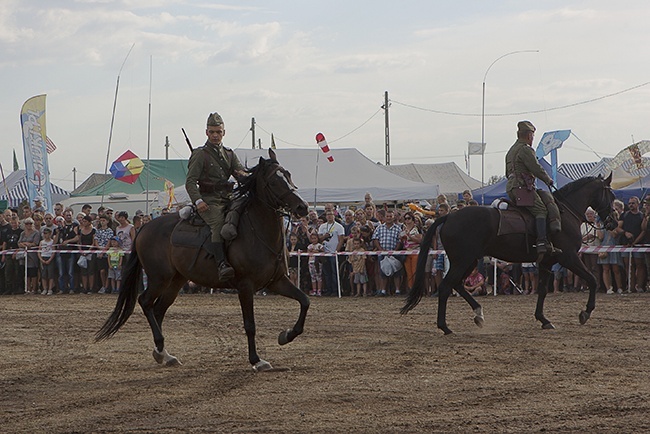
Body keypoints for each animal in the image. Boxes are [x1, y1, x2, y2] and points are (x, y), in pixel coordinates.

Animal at [95, 148, 308, 370]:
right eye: (274, 181)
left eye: (288, 175)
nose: (303, 207)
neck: (257, 231)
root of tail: (145, 227)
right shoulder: (245, 286)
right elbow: (250, 325)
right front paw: (256, 360)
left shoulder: (276, 281)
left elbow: (305, 301)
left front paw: (286, 335)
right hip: (159, 278)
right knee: (146, 302)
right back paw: (160, 346)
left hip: (176, 281)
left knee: (158, 309)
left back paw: (163, 354)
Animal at [400, 175, 612, 334]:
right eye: (610, 192)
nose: (612, 221)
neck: (564, 213)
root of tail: (449, 216)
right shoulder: (568, 257)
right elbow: (592, 280)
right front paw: (585, 312)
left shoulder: (546, 263)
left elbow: (543, 290)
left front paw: (543, 319)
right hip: (463, 261)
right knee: (445, 287)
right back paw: (445, 327)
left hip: (469, 261)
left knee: (457, 285)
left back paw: (478, 314)